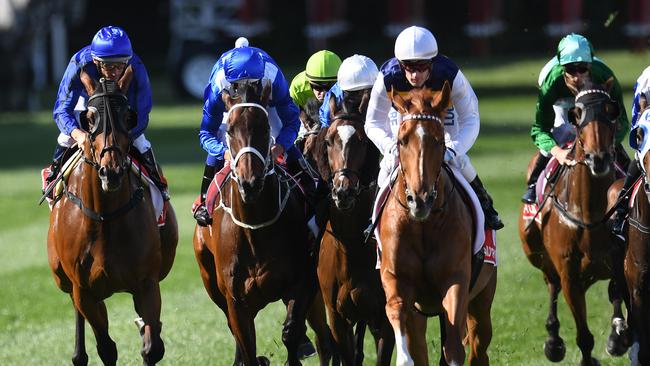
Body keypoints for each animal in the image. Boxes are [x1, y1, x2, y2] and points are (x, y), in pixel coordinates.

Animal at [46, 77, 178, 366]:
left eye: (128, 116)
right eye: (90, 118)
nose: (112, 171)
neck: (105, 217)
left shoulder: (147, 282)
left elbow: (152, 347)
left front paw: (147, 334)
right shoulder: (84, 290)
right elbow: (107, 347)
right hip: (64, 280)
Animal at [190, 81, 326, 364]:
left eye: (263, 127)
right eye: (230, 130)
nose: (249, 182)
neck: (255, 229)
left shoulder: (302, 283)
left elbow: (291, 332)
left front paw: (298, 346)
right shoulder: (236, 302)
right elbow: (246, 345)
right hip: (210, 281)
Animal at [312, 92, 392, 366]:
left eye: (363, 140)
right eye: (328, 141)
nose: (343, 191)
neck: (352, 248)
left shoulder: (383, 316)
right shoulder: (338, 318)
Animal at [374, 83, 496, 366]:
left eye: (439, 141)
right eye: (402, 140)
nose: (420, 199)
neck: (422, 226)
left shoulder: (456, 281)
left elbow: (453, 349)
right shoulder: (396, 279)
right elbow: (395, 312)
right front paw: (403, 357)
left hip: (482, 302)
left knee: (478, 345)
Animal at [516, 81, 628, 366]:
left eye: (611, 111)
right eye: (577, 116)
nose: (599, 158)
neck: (588, 212)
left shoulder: (616, 257)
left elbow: (617, 291)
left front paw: (617, 338)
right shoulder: (569, 274)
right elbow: (584, 335)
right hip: (538, 255)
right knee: (551, 285)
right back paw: (553, 341)